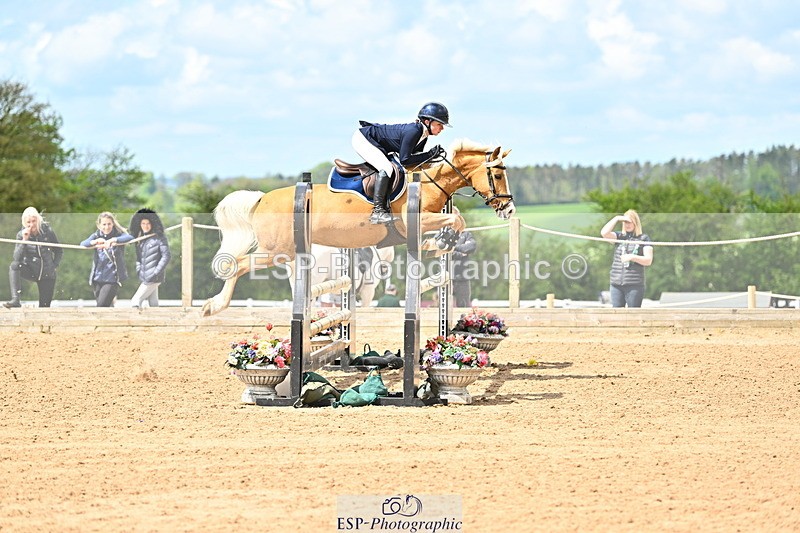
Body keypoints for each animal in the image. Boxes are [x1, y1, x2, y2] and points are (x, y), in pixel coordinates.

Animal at [202, 139, 515, 316]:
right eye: (498, 175)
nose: (509, 209)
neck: (428, 182)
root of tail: (261, 198)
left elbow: (453, 222)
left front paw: (438, 243)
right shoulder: (413, 221)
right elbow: (457, 219)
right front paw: (443, 241)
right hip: (277, 251)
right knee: (239, 265)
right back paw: (213, 307)